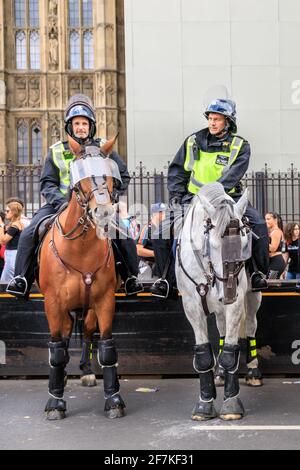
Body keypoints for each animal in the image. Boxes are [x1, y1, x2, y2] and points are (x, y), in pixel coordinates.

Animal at [39, 138, 125, 420]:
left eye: (110, 176)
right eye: (81, 176)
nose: (103, 211)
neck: (81, 248)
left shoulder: (105, 300)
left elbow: (107, 347)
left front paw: (113, 399)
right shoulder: (53, 303)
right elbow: (57, 349)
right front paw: (55, 402)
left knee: (86, 330)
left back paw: (86, 372)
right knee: (64, 338)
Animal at [176, 182, 262, 420]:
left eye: (245, 243)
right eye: (213, 244)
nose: (229, 292)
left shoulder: (236, 304)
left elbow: (230, 353)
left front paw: (231, 404)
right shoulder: (191, 306)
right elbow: (204, 355)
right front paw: (204, 403)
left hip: (252, 297)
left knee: (251, 325)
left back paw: (253, 370)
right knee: (222, 328)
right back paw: (221, 374)